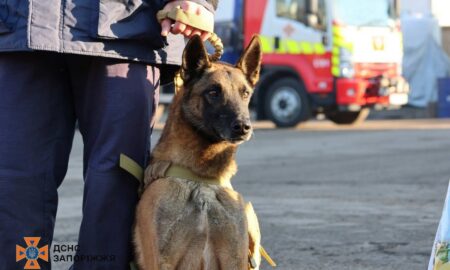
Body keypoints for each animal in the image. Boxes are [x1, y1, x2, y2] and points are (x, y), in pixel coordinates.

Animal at [135, 35, 264, 270]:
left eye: (245, 93)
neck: (201, 180)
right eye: (213, 92)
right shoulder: (162, 261)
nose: (244, 127)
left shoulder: (235, 260)